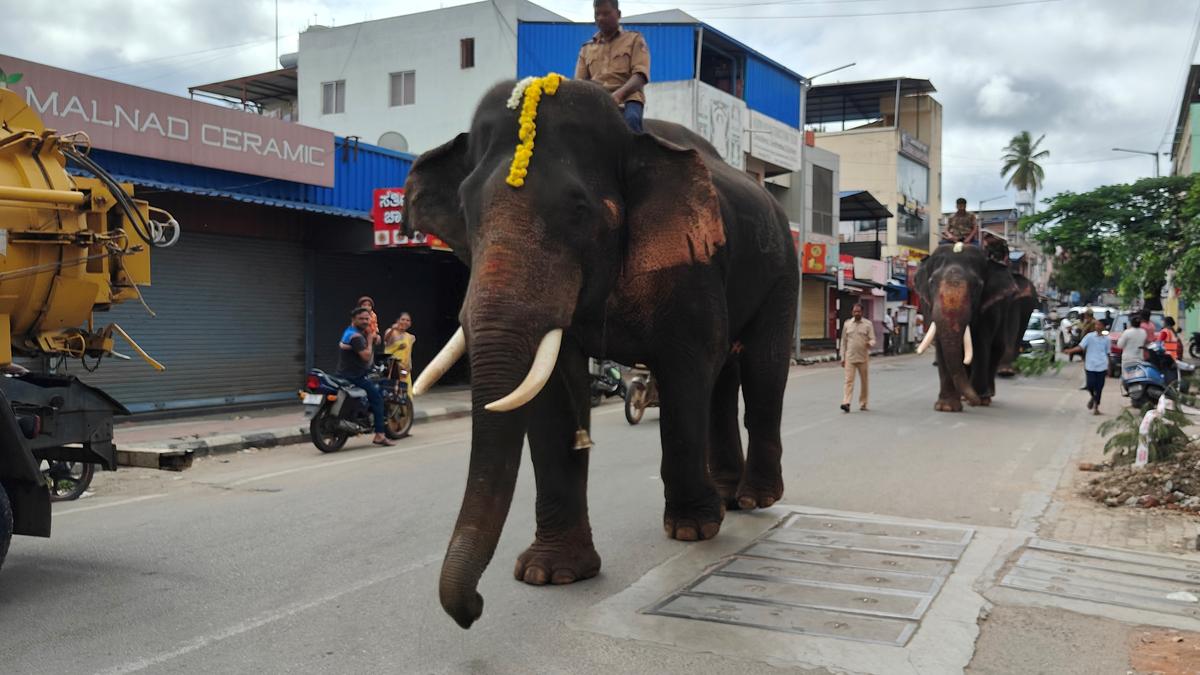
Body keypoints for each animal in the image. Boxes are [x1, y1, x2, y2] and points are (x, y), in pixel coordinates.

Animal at [403, 77, 799, 628]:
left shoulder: (690, 264)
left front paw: (693, 530)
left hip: (781, 267)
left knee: (761, 370)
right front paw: (550, 574)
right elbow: (552, 393)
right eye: (465, 209)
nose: (474, 610)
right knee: (724, 377)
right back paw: (727, 497)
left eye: (579, 210)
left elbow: (685, 372)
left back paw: (753, 498)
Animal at [914, 243, 1023, 411]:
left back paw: (985, 396)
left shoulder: (988, 308)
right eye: (931, 282)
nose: (975, 399)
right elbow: (941, 345)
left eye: (977, 286)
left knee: (996, 348)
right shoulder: (928, 306)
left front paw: (979, 400)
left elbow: (980, 345)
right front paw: (946, 407)